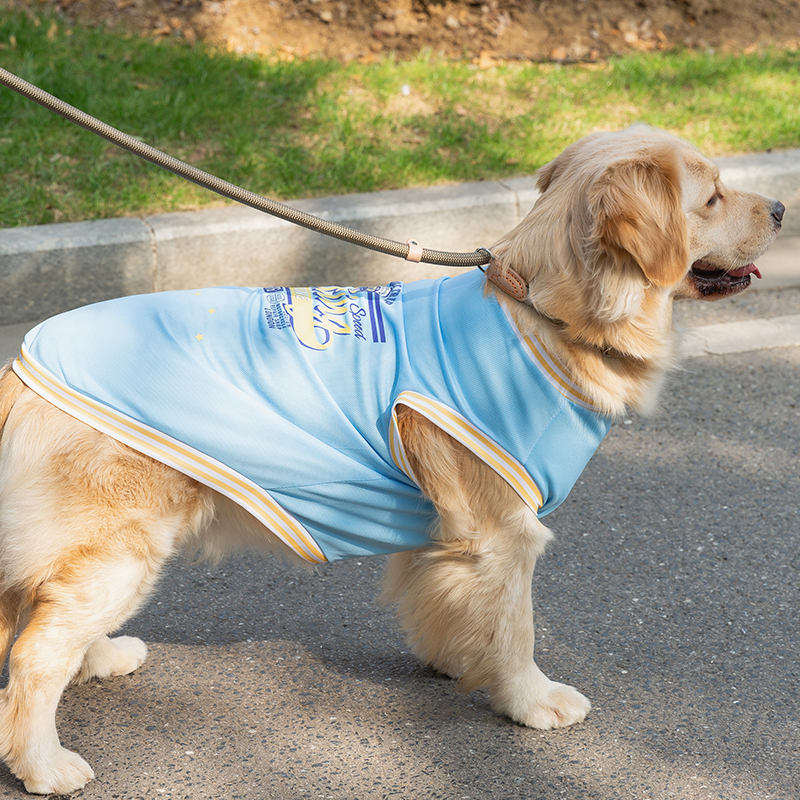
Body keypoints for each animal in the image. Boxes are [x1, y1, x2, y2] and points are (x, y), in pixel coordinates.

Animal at [0, 126, 784, 792]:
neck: (542, 315)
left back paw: (100, 656)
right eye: (712, 196)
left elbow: (446, 599)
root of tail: (24, 366)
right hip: (121, 548)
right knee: (35, 653)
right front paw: (530, 700)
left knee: (40, 617)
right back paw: (44, 763)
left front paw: (457, 659)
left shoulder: (447, 527)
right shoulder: (505, 529)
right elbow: (516, 625)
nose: (780, 207)